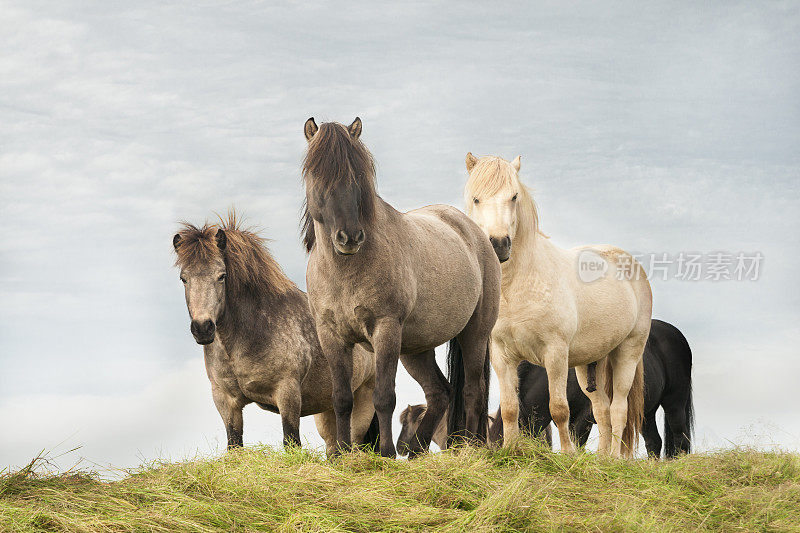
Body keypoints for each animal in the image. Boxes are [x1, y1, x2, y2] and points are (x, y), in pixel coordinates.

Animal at [172, 214, 378, 456]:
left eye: (221, 276)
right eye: (184, 278)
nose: (203, 328)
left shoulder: (287, 393)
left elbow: (291, 441)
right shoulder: (225, 400)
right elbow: (234, 444)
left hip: (363, 398)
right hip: (327, 408)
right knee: (333, 447)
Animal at [302, 117, 500, 458]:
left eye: (358, 175)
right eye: (317, 174)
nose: (349, 237)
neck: (346, 270)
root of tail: (476, 233)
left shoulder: (386, 329)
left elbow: (384, 397)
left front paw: (385, 452)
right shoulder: (331, 336)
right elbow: (341, 398)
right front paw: (341, 453)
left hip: (474, 333)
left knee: (472, 391)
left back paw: (469, 448)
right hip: (416, 349)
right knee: (440, 392)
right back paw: (418, 449)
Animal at [466, 152, 652, 456]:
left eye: (514, 196)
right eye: (476, 198)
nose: (499, 244)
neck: (518, 285)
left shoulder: (555, 353)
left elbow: (559, 408)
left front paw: (567, 454)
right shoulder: (502, 356)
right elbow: (509, 408)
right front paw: (511, 449)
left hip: (628, 351)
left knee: (618, 409)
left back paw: (615, 458)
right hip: (591, 363)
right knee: (602, 410)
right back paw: (602, 459)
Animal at [488, 318, 692, 460]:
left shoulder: (585, 418)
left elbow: (578, 442)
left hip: (675, 403)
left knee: (680, 438)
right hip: (645, 412)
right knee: (654, 442)